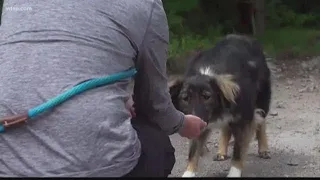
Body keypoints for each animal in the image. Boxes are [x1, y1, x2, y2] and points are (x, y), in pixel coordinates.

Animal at [169, 33, 272, 177]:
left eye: (207, 96)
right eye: (185, 98)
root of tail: (243, 36)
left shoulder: (244, 120)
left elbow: (238, 151)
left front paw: (234, 173)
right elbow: (193, 151)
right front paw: (188, 172)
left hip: (262, 100)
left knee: (261, 122)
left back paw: (263, 149)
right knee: (226, 128)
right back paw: (221, 151)